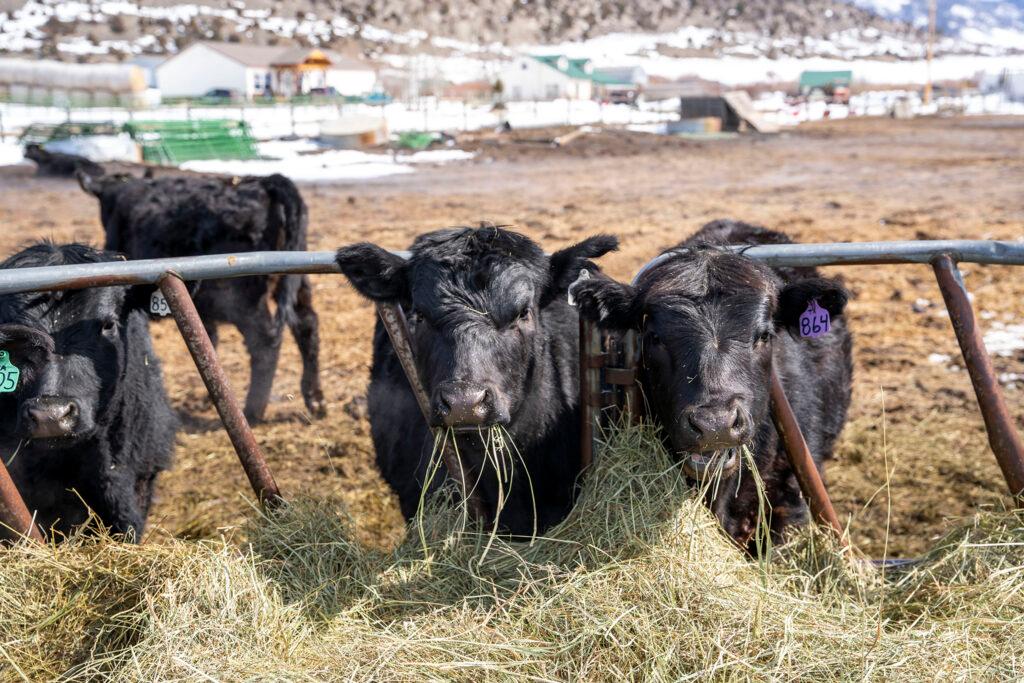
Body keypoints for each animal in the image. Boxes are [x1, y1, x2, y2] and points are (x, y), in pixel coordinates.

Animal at [78, 171, 325, 421]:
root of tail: (266, 182)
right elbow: (207, 342)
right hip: (296, 282)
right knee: (307, 325)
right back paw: (315, 400)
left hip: (244, 300)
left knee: (265, 343)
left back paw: (253, 410)